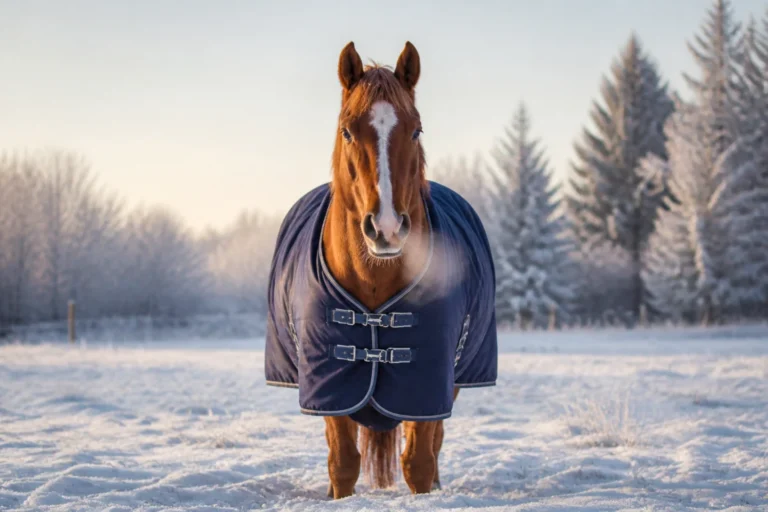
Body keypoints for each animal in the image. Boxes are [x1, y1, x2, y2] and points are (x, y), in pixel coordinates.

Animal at [265, 41, 497, 499]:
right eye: (347, 130)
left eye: (416, 130)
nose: (386, 227)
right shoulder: (331, 385)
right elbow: (343, 463)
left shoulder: (428, 386)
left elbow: (419, 462)